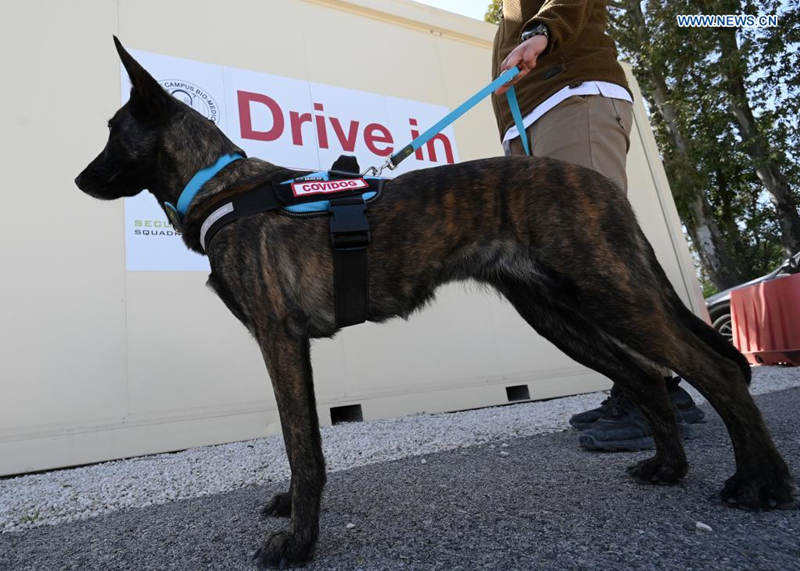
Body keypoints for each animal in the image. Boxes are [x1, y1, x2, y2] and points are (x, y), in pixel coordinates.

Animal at [75, 39, 792, 568]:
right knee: (645, 375)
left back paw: (762, 482)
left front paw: (300, 541)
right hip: (559, 313)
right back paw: (670, 468)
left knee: (716, 369)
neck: (222, 187)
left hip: (609, 291)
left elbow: (303, 445)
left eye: (113, 131)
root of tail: (593, 180)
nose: (79, 179)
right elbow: (302, 442)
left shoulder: (280, 340)